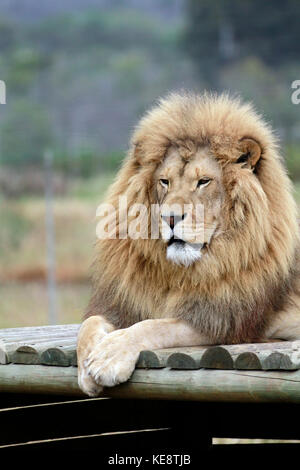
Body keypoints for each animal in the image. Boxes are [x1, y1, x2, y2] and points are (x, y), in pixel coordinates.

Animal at [76, 92, 300, 396]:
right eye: (164, 181)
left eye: (203, 181)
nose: (170, 217)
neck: (181, 272)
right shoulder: (125, 304)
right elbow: (89, 324)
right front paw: (86, 370)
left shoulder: (225, 320)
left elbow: (155, 326)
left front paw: (108, 358)